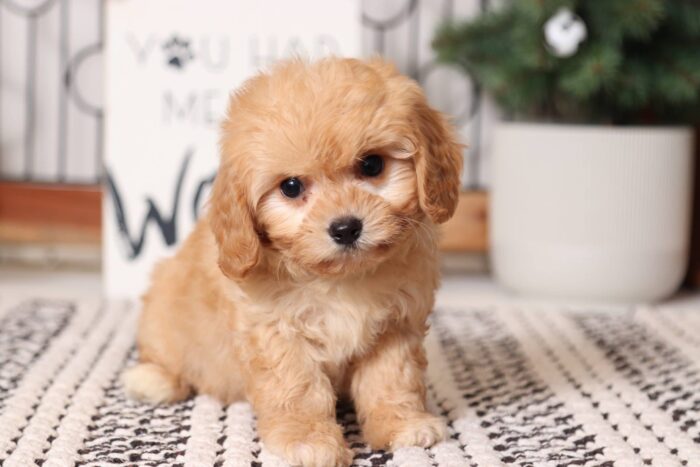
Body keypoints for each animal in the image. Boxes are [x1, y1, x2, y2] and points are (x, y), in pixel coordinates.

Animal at [124, 57, 464, 467]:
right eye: (291, 187)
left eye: (371, 165)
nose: (346, 228)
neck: (339, 279)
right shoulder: (277, 332)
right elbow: (298, 388)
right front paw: (309, 442)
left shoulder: (396, 326)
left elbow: (393, 378)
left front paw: (404, 424)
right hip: (163, 313)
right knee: (161, 352)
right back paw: (152, 379)